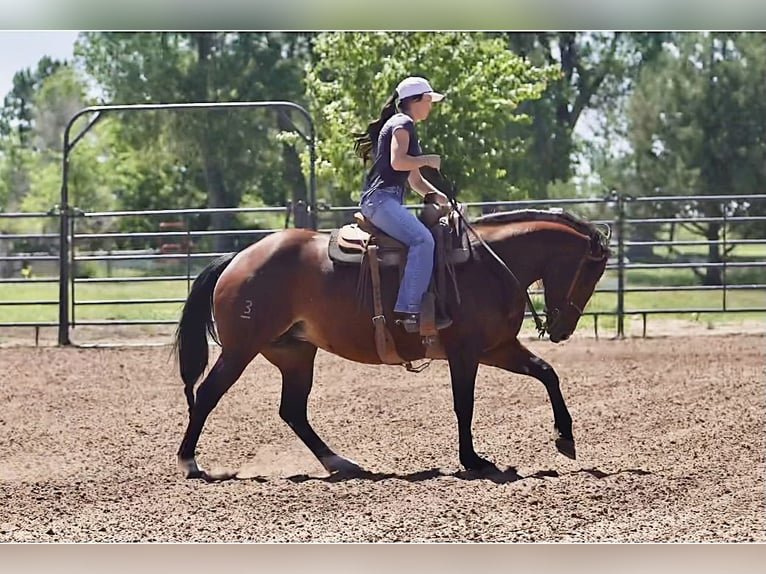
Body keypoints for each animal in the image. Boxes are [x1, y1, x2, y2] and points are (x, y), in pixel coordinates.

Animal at [176, 209, 612, 480]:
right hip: (241, 349)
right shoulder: (466, 352)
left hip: (294, 353)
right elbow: (465, 404)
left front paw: (565, 438)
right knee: (208, 394)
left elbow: (547, 373)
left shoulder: (497, 348)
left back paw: (340, 462)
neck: (490, 264)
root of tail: (238, 258)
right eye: (590, 273)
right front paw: (473, 460)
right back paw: (189, 462)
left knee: (293, 410)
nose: (562, 330)